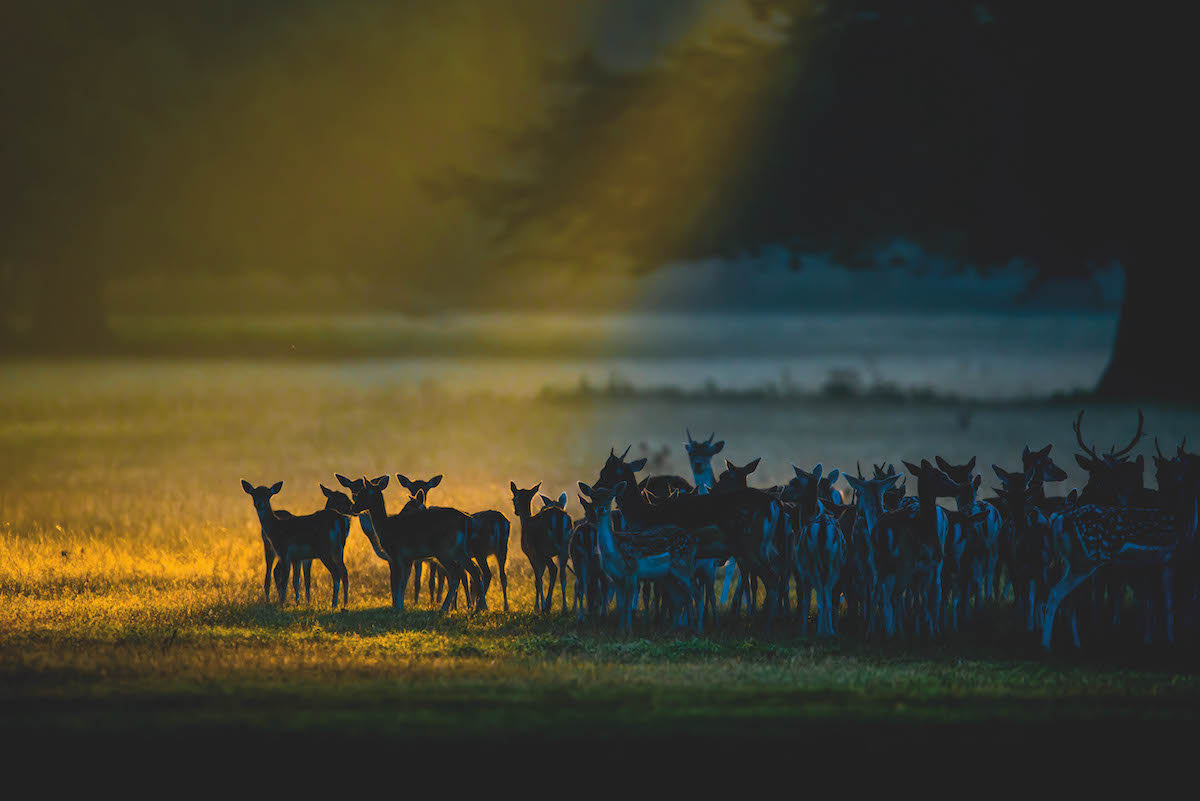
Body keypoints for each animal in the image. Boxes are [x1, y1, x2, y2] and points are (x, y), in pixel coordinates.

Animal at [345, 474, 484, 613]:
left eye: (363, 493)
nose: (353, 508)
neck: (385, 526)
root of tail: (466, 519)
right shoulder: (408, 558)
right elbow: (404, 582)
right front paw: (401, 606)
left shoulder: (396, 554)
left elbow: (398, 582)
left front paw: (397, 607)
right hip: (459, 550)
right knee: (474, 571)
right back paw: (479, 608)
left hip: (443, 550)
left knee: (456, 574)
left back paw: (444, 609)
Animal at [508, 482, 573, 613]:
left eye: (513, 499)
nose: (516, 511)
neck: (526, 521)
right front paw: (543, 605)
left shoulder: (532, 553)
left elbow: (538, 579)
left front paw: (537, 607)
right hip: (565, 547)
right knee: (563, 575)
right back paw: (564, 608)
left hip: (543, 547)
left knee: (550, 572)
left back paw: (545, 606)